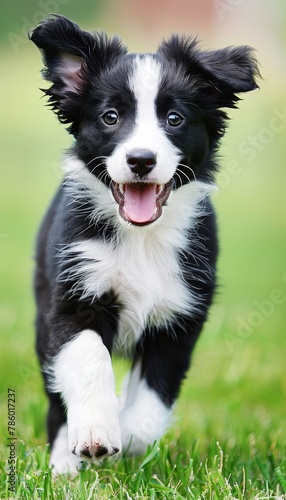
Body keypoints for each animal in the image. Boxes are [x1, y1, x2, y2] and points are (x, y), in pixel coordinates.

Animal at [29, 15, 260, 474]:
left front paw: (129, 432)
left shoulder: (181, 313)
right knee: (56, 394)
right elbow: (87, 357)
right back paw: (63, 465)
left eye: (174, 118)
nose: (141, 160)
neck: (141, 237)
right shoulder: (70, 296)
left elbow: (156, 390)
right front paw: (96, 433)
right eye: (110, 117)